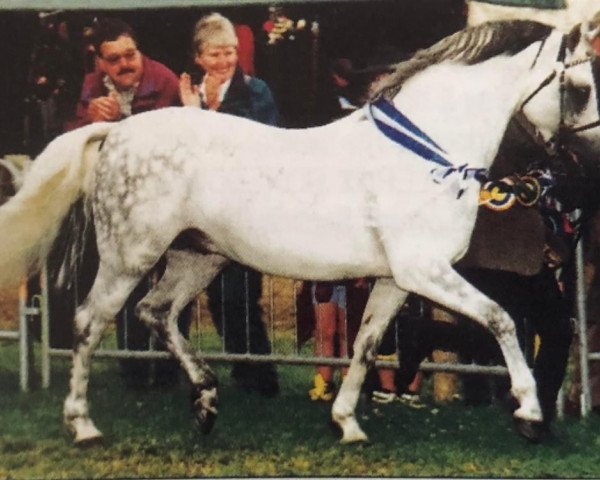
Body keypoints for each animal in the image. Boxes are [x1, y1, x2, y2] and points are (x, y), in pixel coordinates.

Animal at [1, 21, 600, 442]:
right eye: (580, 88)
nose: (586, 168)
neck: (426, 154)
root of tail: (115, 131)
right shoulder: (426, 272)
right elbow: (502, 321)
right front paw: (529, 412)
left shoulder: (397, 280)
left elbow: (366, 344)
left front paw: (347, 423)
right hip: (130, 255)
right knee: (89, 323)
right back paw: (83, 425)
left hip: (199, 257)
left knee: (156, 312)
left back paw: (206, 401)